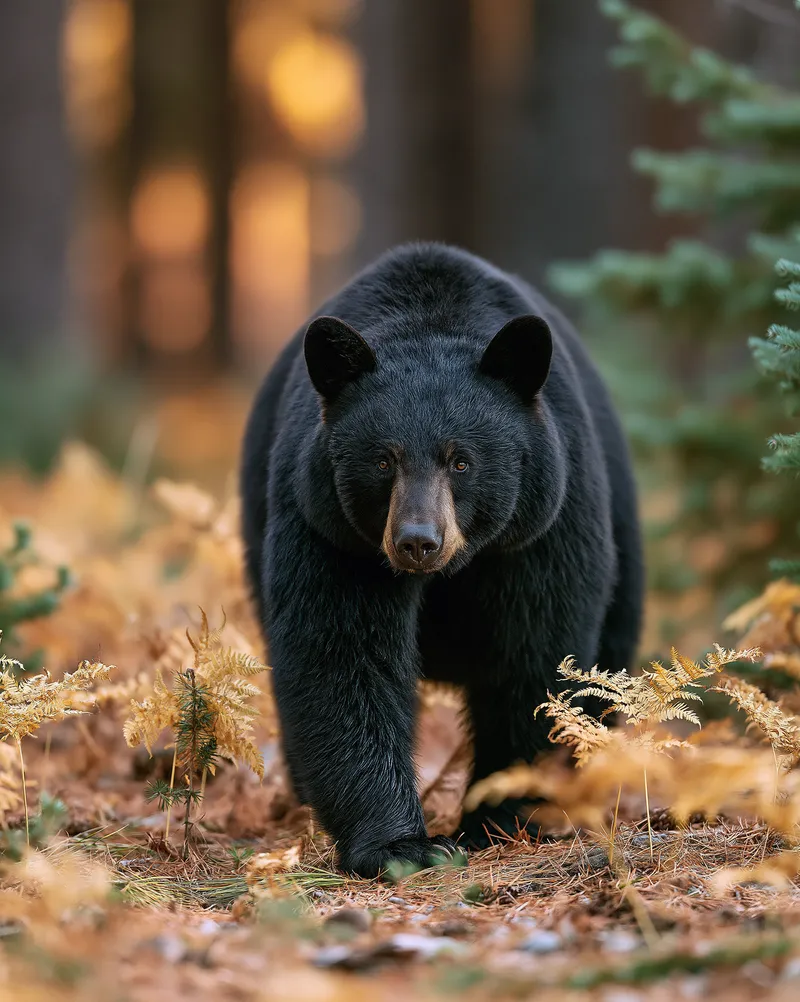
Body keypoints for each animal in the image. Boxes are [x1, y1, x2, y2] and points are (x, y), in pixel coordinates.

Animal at [240, 242, 643, 878]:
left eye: (461, 460)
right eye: (383, 460)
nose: (417, 540)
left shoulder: (542, 530)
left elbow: (535, 657)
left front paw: (501, 815)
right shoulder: (330, 531)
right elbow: (341, 656)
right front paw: (400, 844)